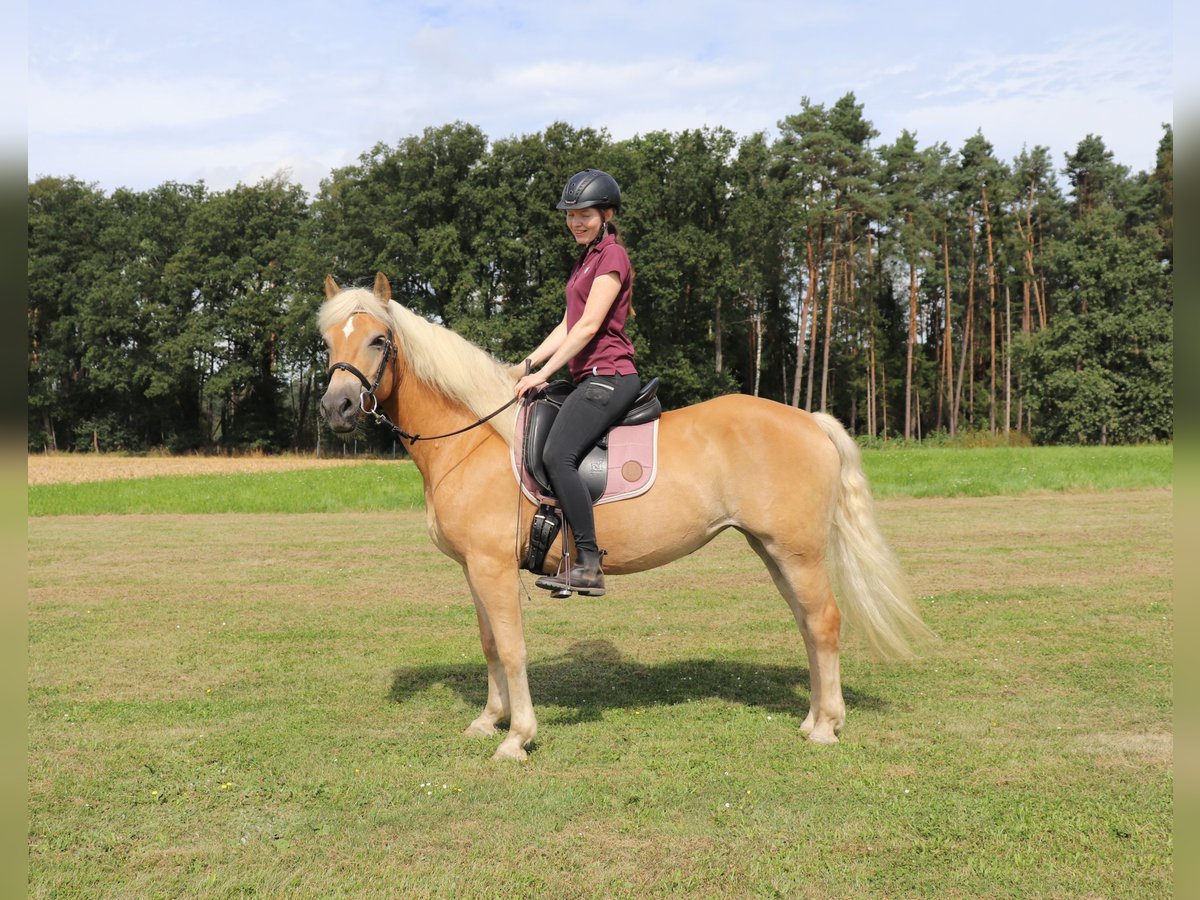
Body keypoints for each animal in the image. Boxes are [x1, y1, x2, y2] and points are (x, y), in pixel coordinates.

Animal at [316, 273, 926, 763]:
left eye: (378, 339)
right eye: (328, 341)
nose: (336, 408)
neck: (476, 437)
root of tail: (810, 420)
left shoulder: (492, 567)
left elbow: (512, 647)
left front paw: (517, 737)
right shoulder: (474, 568)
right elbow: (490, 643)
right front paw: (488, 720)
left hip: (797, 551)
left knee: (823, 622)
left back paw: (826, 727)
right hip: (774, 550)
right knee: (806, 623)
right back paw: (813, 717)